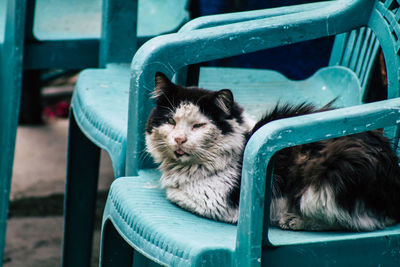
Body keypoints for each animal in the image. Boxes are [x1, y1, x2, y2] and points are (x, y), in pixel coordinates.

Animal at [145, 72, 400, 231]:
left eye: (198, 126)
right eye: (171, 121)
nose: (179, 139)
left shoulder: (216, 202)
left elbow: (174, 193)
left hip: (325, 182)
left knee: (359, 223)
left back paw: (294, 220)